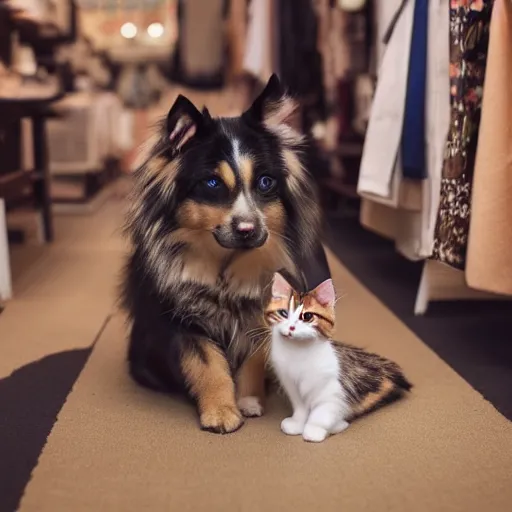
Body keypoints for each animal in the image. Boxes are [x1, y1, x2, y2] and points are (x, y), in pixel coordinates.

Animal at [121, 74, 320, 434]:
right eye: (212, 184)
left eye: (266, 182)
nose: (248, 230)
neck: (225, 264)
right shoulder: (179, 318)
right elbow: (207, 363)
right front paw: (221, 413)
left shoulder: (260, 311)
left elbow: (255, 359)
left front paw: (250, 402)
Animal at [266, 274, 410, 442]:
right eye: (283, 313)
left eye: (307, 316)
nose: (291, 327)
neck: (296, 352)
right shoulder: (291, 385)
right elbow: (301, 409)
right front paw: (297, 423)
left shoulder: (332, 390)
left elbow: (322, 413)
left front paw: (314, 431)